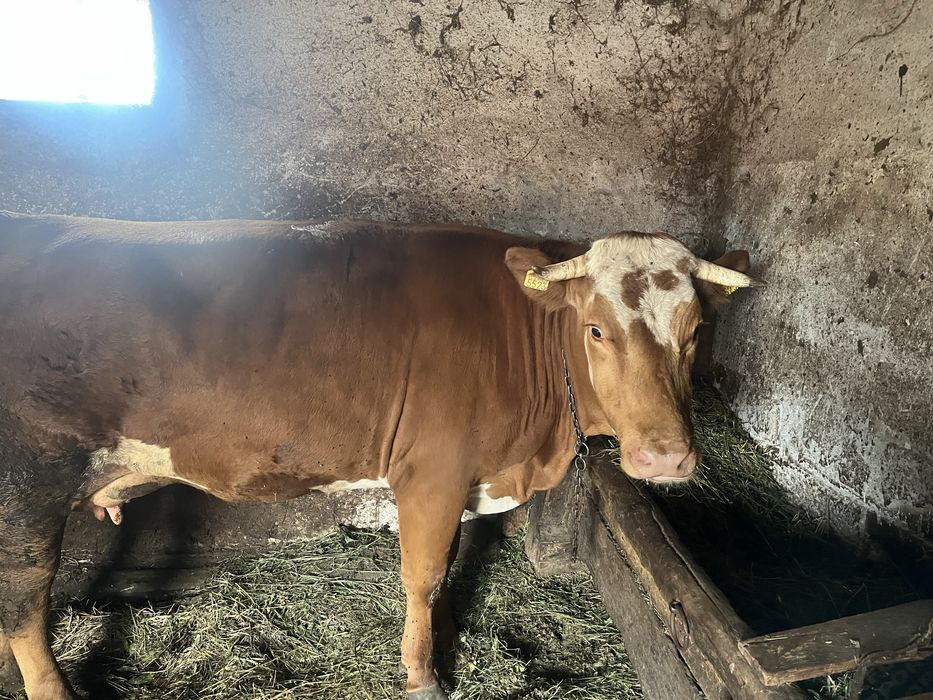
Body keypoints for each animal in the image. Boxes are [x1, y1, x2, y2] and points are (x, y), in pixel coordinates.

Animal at [0, 211, 757, 700]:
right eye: (596, 329)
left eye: (697, 330)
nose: (665, 460)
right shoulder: (432, 471)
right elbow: (423, 573)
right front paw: (423, 675)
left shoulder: (467, 478)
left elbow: (451, 562)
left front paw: (448, 637)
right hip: (29, 483)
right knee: (24, 603)